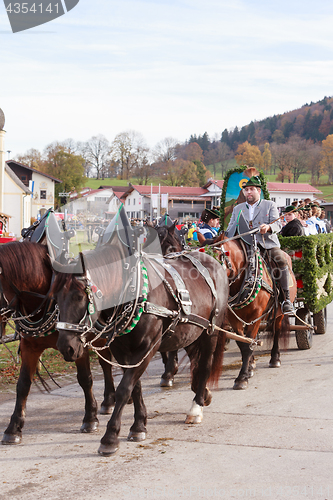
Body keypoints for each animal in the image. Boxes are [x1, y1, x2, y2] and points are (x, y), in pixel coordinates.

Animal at [53, 240, 228, 456]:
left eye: (79, 296)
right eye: (55, 297)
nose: (65, 347)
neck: (134, 294)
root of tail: (211, 258)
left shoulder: (148, 348)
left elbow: (124, 388)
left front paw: (110, 437)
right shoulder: (121, 351)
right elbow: (134, 387)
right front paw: (139, 426)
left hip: (210, 331)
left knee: (204, 366)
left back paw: (196, 407)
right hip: (191, 332)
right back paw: (203, 394)